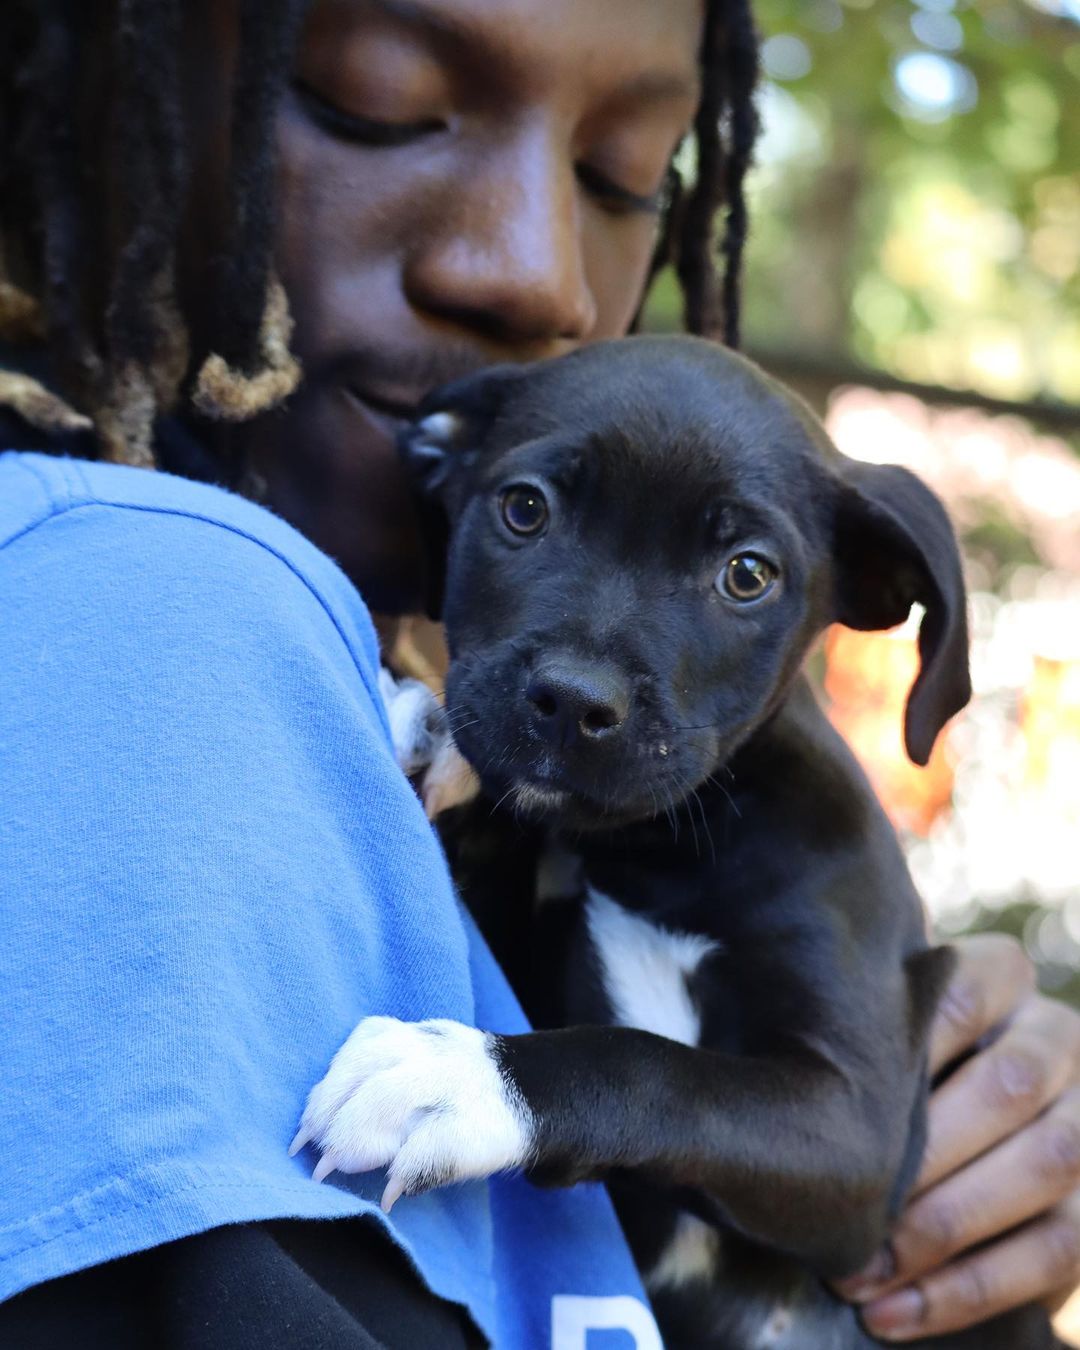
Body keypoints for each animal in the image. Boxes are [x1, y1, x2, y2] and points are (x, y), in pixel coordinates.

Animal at [299, 337, 1058, 1350]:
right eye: (524, 509)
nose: (571, 703)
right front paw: (427, 741)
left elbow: (653, 1065)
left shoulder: (858, 1132)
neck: (648, 850)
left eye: (747, 574)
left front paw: (460, 1079)